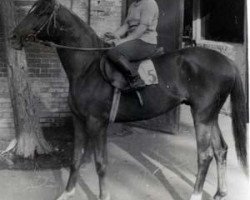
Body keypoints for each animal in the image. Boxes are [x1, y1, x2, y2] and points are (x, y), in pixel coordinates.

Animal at [10, 0, 247, 200]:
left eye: (41, 12)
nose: (13, 36)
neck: (87, 68)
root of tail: (227, 61)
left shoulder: (97, 123)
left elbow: (100, 163)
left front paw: (103, 196)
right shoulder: (79, 121)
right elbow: (76, 159)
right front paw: (68, 193)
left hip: (202, 116)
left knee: (205, 156)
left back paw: (196, 195)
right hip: (210, 115)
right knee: (221, 149)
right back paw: (220, 193)